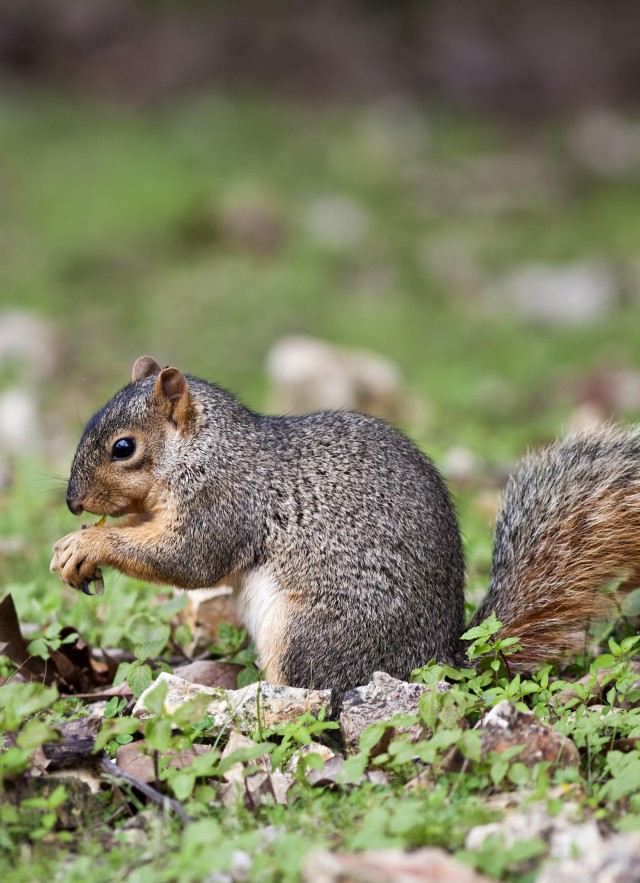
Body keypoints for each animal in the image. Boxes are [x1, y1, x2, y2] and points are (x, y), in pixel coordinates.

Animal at [48, 356, 640, 696]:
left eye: (124, 448)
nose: (74, 503)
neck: (206, 450)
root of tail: (437, 662)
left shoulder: (225, 503)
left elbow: (189, 561)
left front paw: (89, 543)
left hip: (311, 635)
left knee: (317, 699)